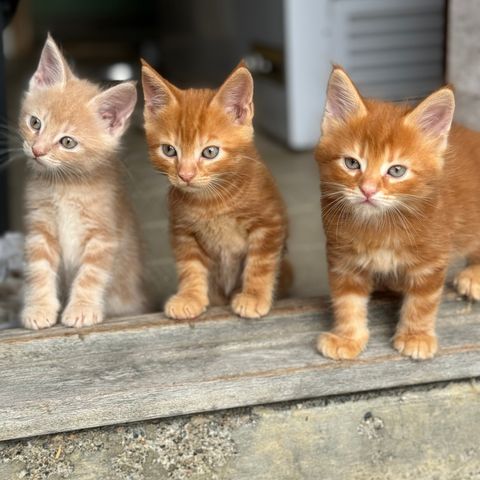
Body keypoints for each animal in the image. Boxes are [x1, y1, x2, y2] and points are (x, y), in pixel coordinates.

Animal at [20, 35, 147, 328]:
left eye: (67, 142)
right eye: (35, 123)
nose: (37, 150)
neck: (65, 187)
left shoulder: (104, 234)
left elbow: (91, 275)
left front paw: (82, 308)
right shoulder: (39, 228)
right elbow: (38, 270)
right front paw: (39, 309)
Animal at [139, 62, 288, 320]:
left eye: (210, 152)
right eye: (169, 150)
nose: (185, 175)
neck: (211, 201)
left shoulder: (269, 222)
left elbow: (260, 263)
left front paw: (253, 296)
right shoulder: (182, 230)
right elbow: (190, 266)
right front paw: (190, 297)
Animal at [316, 66, 480, 360]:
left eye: (396, 170)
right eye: (351, 163)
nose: (368, 190)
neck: (380, 225)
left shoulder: (432, 258)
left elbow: (422, 302)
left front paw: (416, 336)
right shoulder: (343, 258)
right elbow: (347, 301)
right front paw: (347, 337)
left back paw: (473, 277)